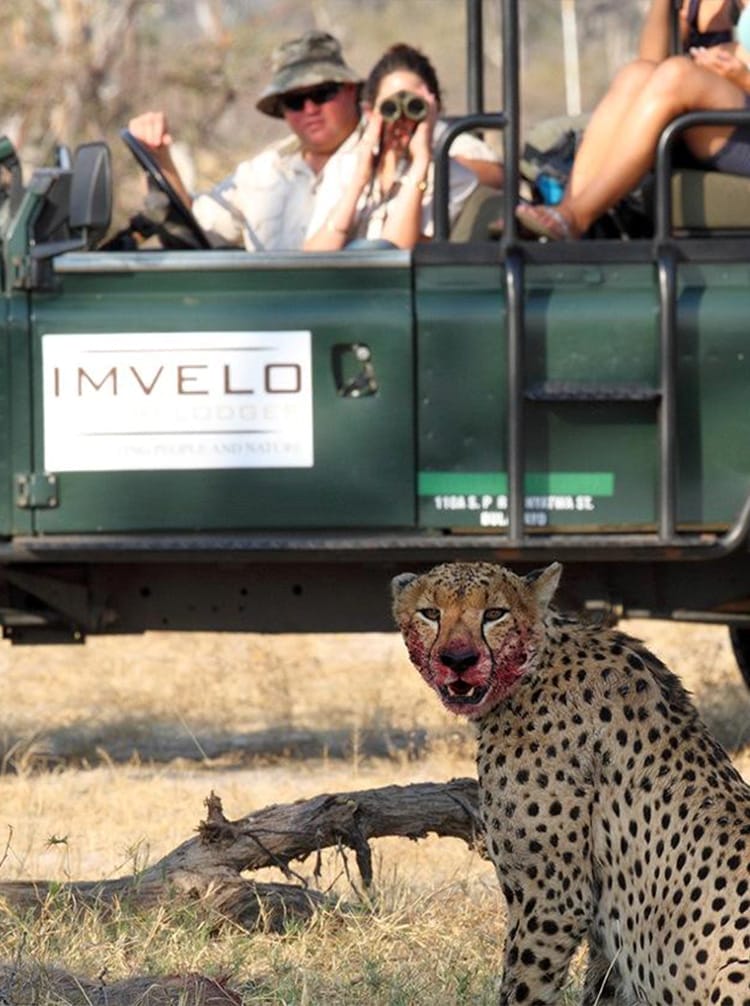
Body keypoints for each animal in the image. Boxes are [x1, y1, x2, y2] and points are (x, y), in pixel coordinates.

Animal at [391, 560, 750, 1006]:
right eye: (430, 613)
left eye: (494, 614)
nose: (459, 659)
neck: (533, 669)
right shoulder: (602, 929)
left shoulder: (552, 901)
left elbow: (523, 988)